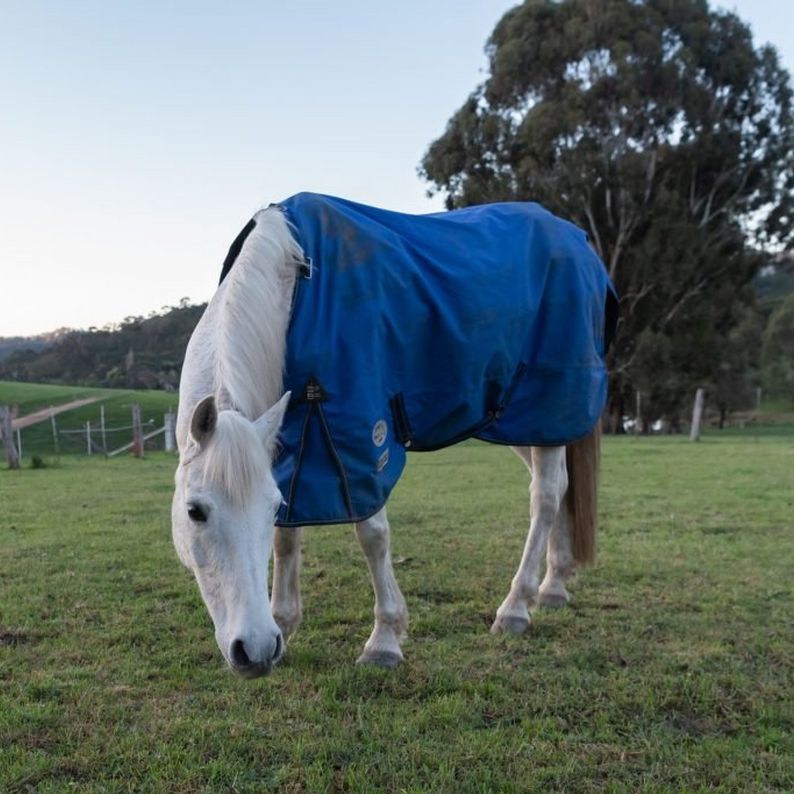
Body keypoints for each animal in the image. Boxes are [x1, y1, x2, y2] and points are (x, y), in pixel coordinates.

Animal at [170, 192, 616, 676]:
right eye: (195, 512)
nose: (253, 650)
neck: (295, 281)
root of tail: (578, 241)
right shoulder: (296, 445)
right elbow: (288, 538)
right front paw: (285, 624)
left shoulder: (359, 440)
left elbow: (372, 535)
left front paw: (384, 639)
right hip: (523, 421)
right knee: (559, 488)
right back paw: (553, 585)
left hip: (550, 406)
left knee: (546, 495)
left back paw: (516, 607)